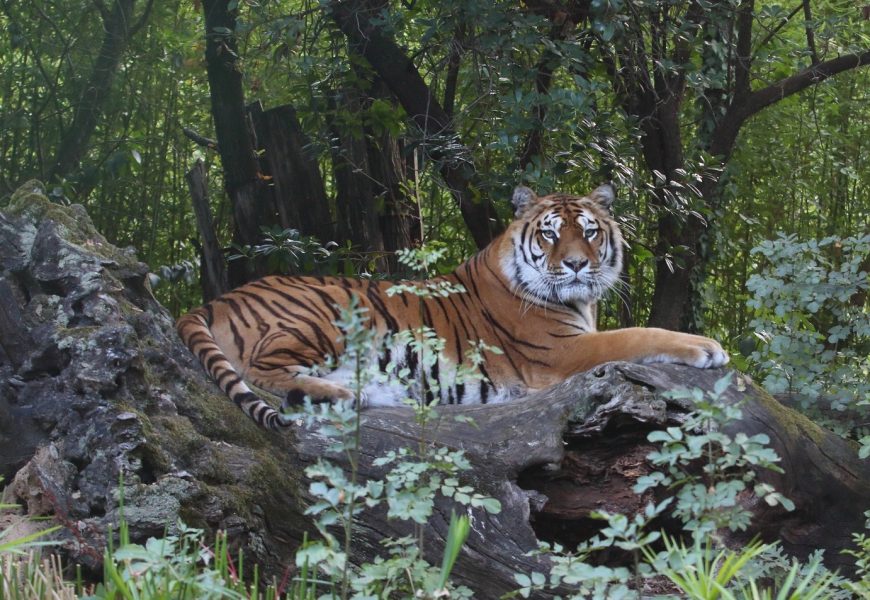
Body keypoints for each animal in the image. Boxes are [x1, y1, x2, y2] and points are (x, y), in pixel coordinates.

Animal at [177, 185, 728, 428]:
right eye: (550, 234)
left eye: (589, 232)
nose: (575, 265)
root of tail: (221, 298)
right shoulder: (562, 352)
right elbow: (638, 334)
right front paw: (707, 347)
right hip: (326, 316)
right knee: (259, 369)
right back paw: (342, 394)